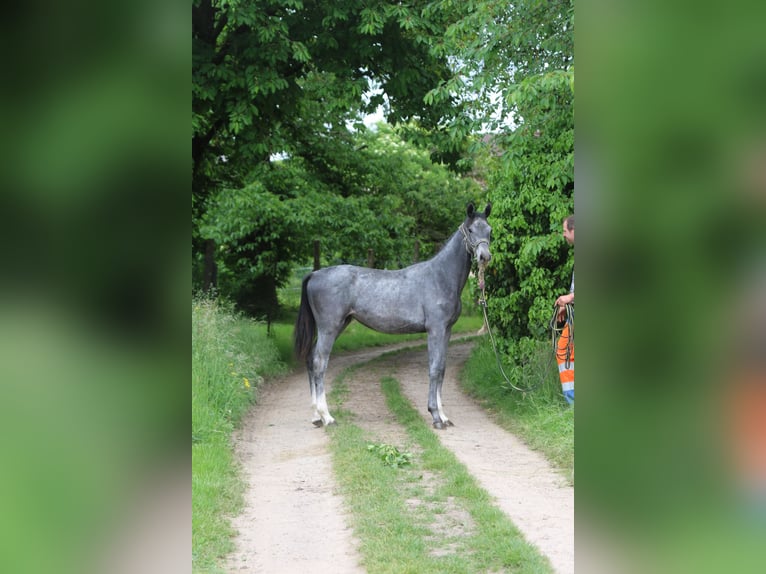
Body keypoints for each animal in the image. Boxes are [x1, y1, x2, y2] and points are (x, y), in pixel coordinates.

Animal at [293, 202, 492, 429]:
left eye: (489, 230)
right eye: (471, 230)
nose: (484, 257)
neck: (440, 276)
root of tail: (315, 274)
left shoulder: (447, 330)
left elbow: (441, 369)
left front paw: (443, 415)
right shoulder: (436, 330)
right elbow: (434, 369)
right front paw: (435, 416)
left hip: (338, 325)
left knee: (311, 359)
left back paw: (316, 416)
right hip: (329, 328)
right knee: (319, 363)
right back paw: (327, 416)